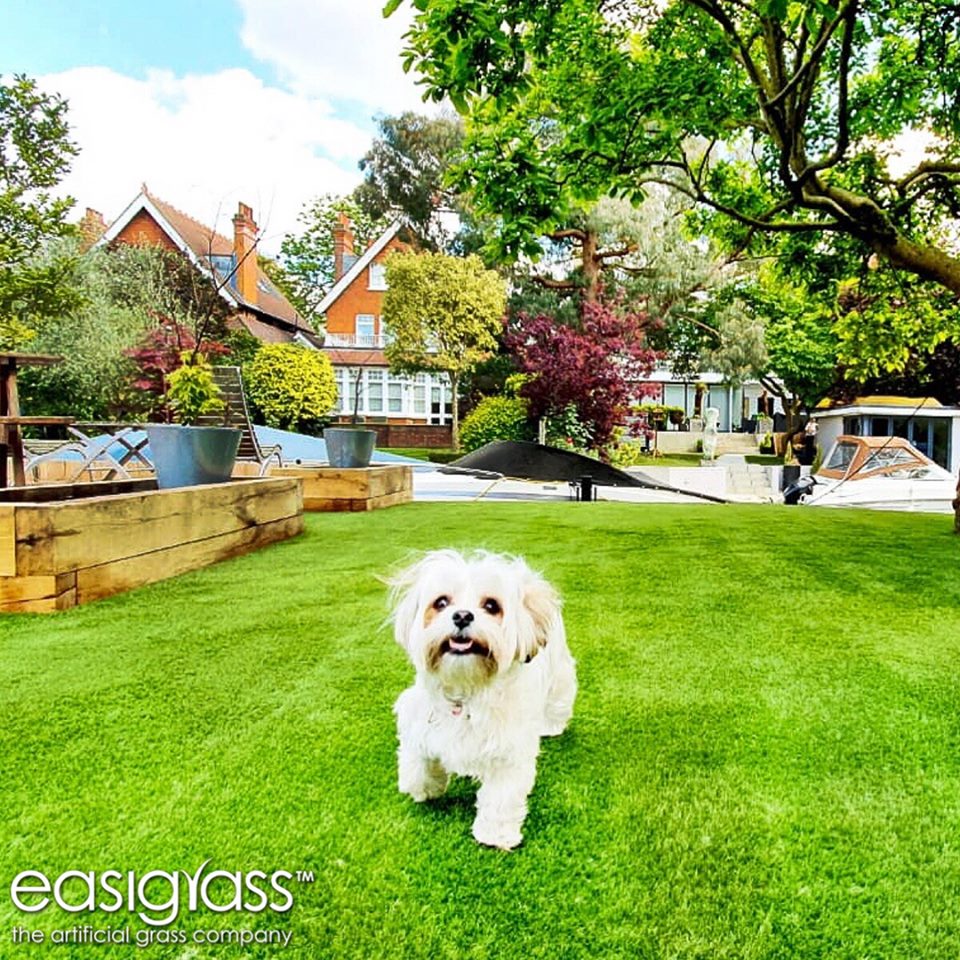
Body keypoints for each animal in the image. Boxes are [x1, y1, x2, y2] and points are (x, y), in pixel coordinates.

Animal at [386, 548, 572, 848]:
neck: (467, 689)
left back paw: (552, 726)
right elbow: (416, 764)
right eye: (441, 602)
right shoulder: (418, 719)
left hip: (561, 677)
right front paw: (427, 787)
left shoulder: (509, 753)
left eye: (492, 606)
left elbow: (500, 799)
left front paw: (495, 835)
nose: (462, 616)